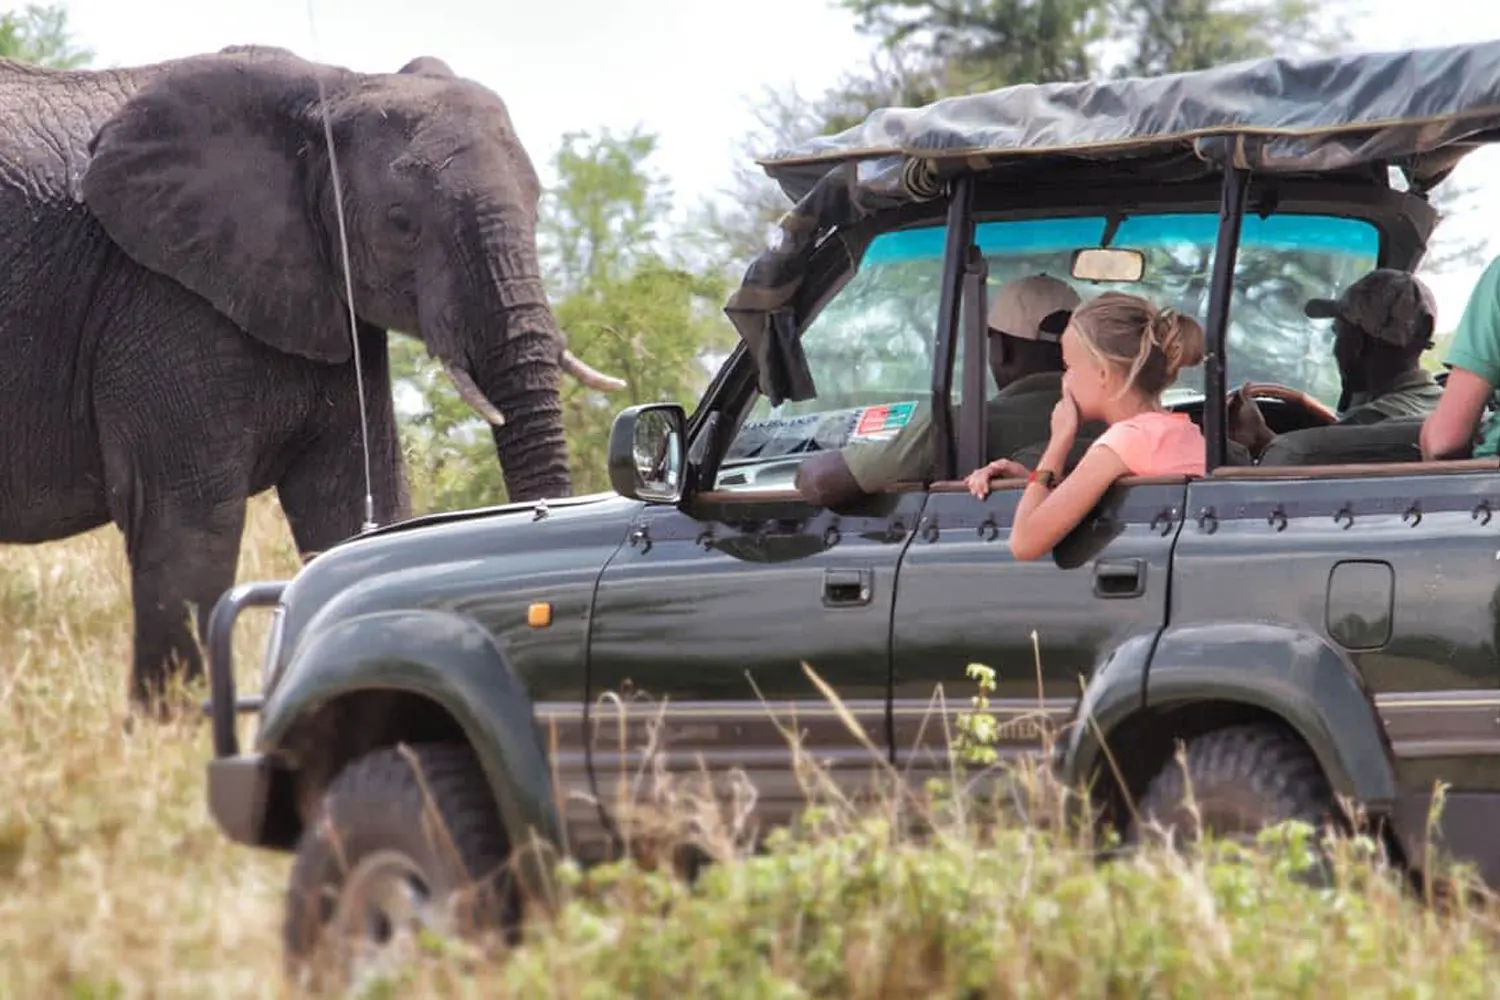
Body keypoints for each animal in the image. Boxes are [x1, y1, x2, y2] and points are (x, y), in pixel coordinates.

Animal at [0, 41, 621, 710]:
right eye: (401, 222)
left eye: (539, 206)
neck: (334, 89)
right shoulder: (160, 297)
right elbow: (188, 525)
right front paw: (175, 727)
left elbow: (354, 504)